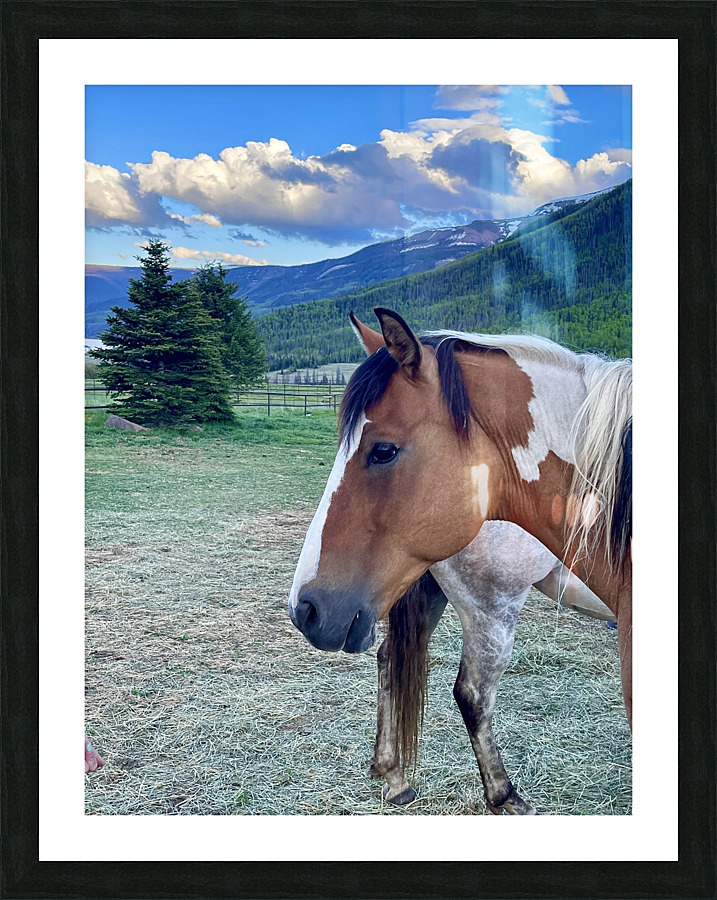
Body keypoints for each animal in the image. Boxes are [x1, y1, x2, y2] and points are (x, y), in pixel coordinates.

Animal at [289, 307, 632, 813]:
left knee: (391, 658)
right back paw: (505, 796)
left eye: (383, 450)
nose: (306, 610)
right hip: (490, 605)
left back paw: (393, 775)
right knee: (472, 694)